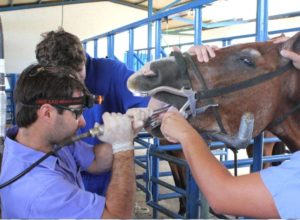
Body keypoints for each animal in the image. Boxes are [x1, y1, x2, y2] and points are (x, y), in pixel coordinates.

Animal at [127, 31, 300, 216]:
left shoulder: (182, 157)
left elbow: (185, 185)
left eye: (247, 60)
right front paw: (181, 209)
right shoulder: (171, 157)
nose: (146, 72)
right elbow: (178, 183)